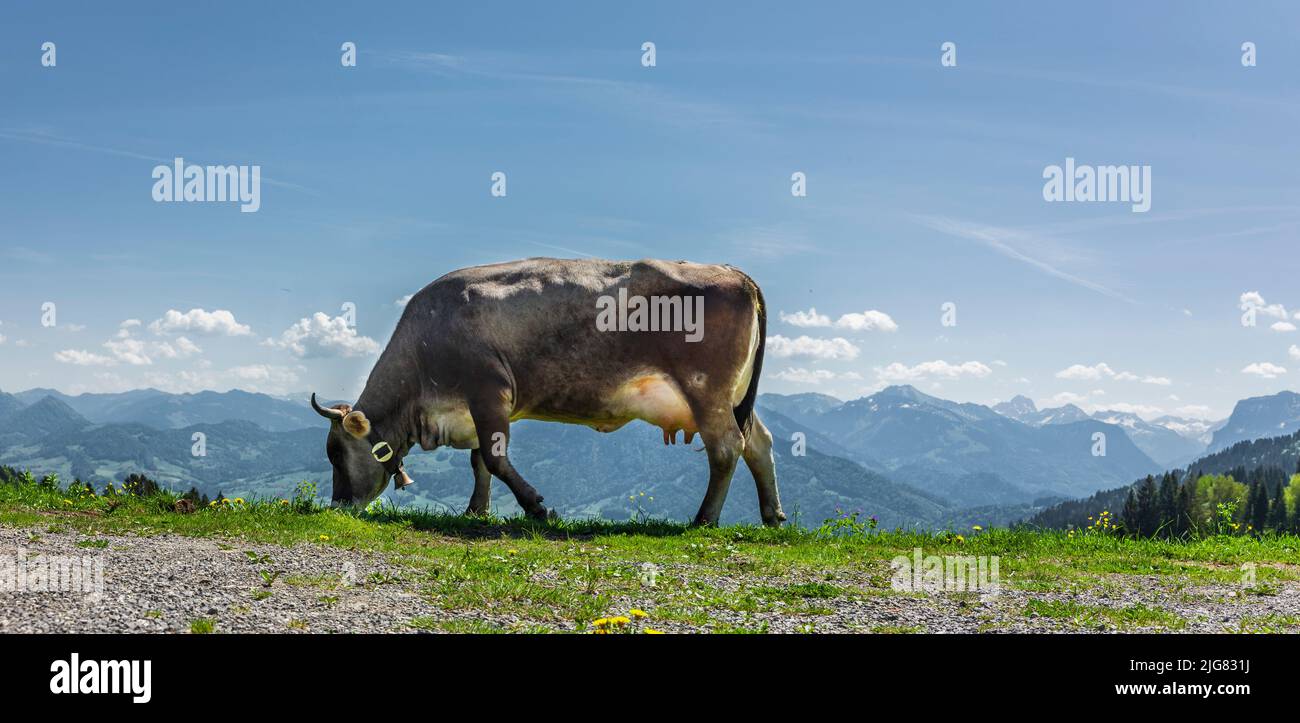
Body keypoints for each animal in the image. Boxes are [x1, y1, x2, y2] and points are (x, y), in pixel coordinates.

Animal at [309, 257, 785, 527]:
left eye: (337, 454)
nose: (338, 505)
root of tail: (733, 272)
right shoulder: (477, 408)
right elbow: (479, 461)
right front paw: (476, 512)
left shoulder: (488, 390)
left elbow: (495, 459)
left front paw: (538, 508)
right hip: (732, 397)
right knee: (758, 442)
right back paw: (772, 515)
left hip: (706, 389)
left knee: (726, 447)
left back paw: (704, 519)